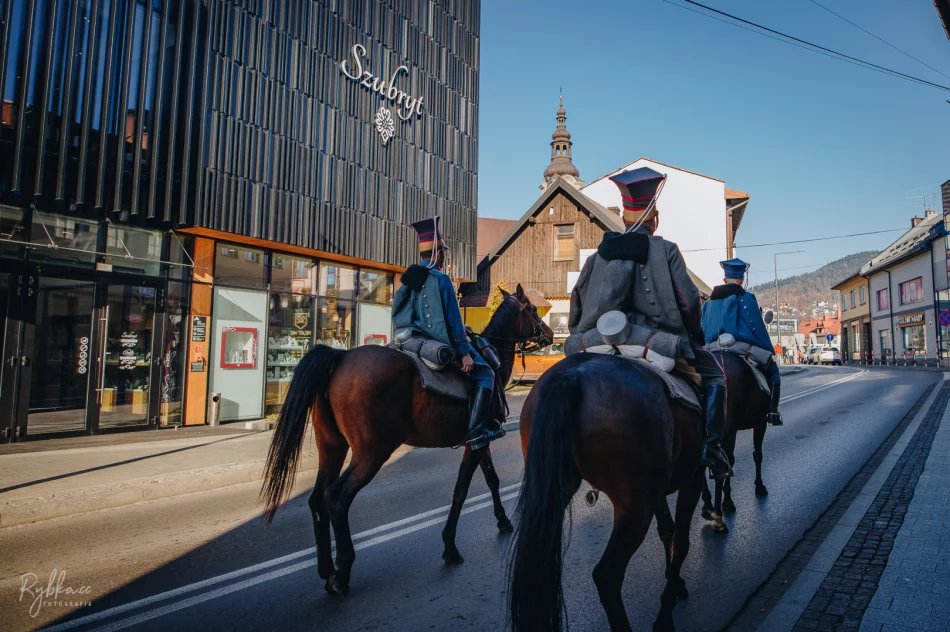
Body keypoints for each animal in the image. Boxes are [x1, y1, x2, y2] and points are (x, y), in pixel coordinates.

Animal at [264, 286, 556, 596]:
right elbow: (461, 491)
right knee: (337, 497)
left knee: (318, 498)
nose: (550, 335)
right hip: (371, 454)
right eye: (532, 310)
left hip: (332, 447)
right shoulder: (476, 442)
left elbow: (492, 480)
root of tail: (341, 359)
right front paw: (450, 546)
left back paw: (326, 570)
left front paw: (502, 520)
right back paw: (342, 574)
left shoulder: (478, 441)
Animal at [700, 350, 772, 532]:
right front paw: (759, 486)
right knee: (725, 462)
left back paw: (708, 506)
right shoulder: (760, 422)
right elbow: (757, 454)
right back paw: (721, 511)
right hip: (729, 427)